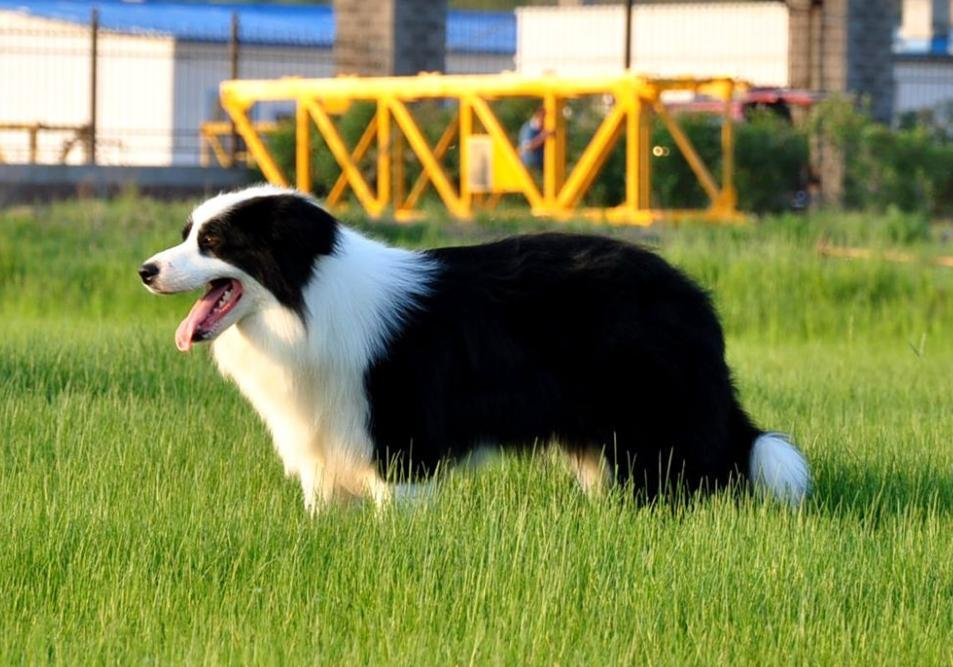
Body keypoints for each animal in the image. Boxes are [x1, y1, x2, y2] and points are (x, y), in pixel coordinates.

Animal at [139, 185, 812, 516]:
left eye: (214, 241)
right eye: (186, 235)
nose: (145, 271)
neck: (304, 301)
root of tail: (692, 295)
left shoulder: (401, 440)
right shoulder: (326, 440)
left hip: (662, 420)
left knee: (706, 475)